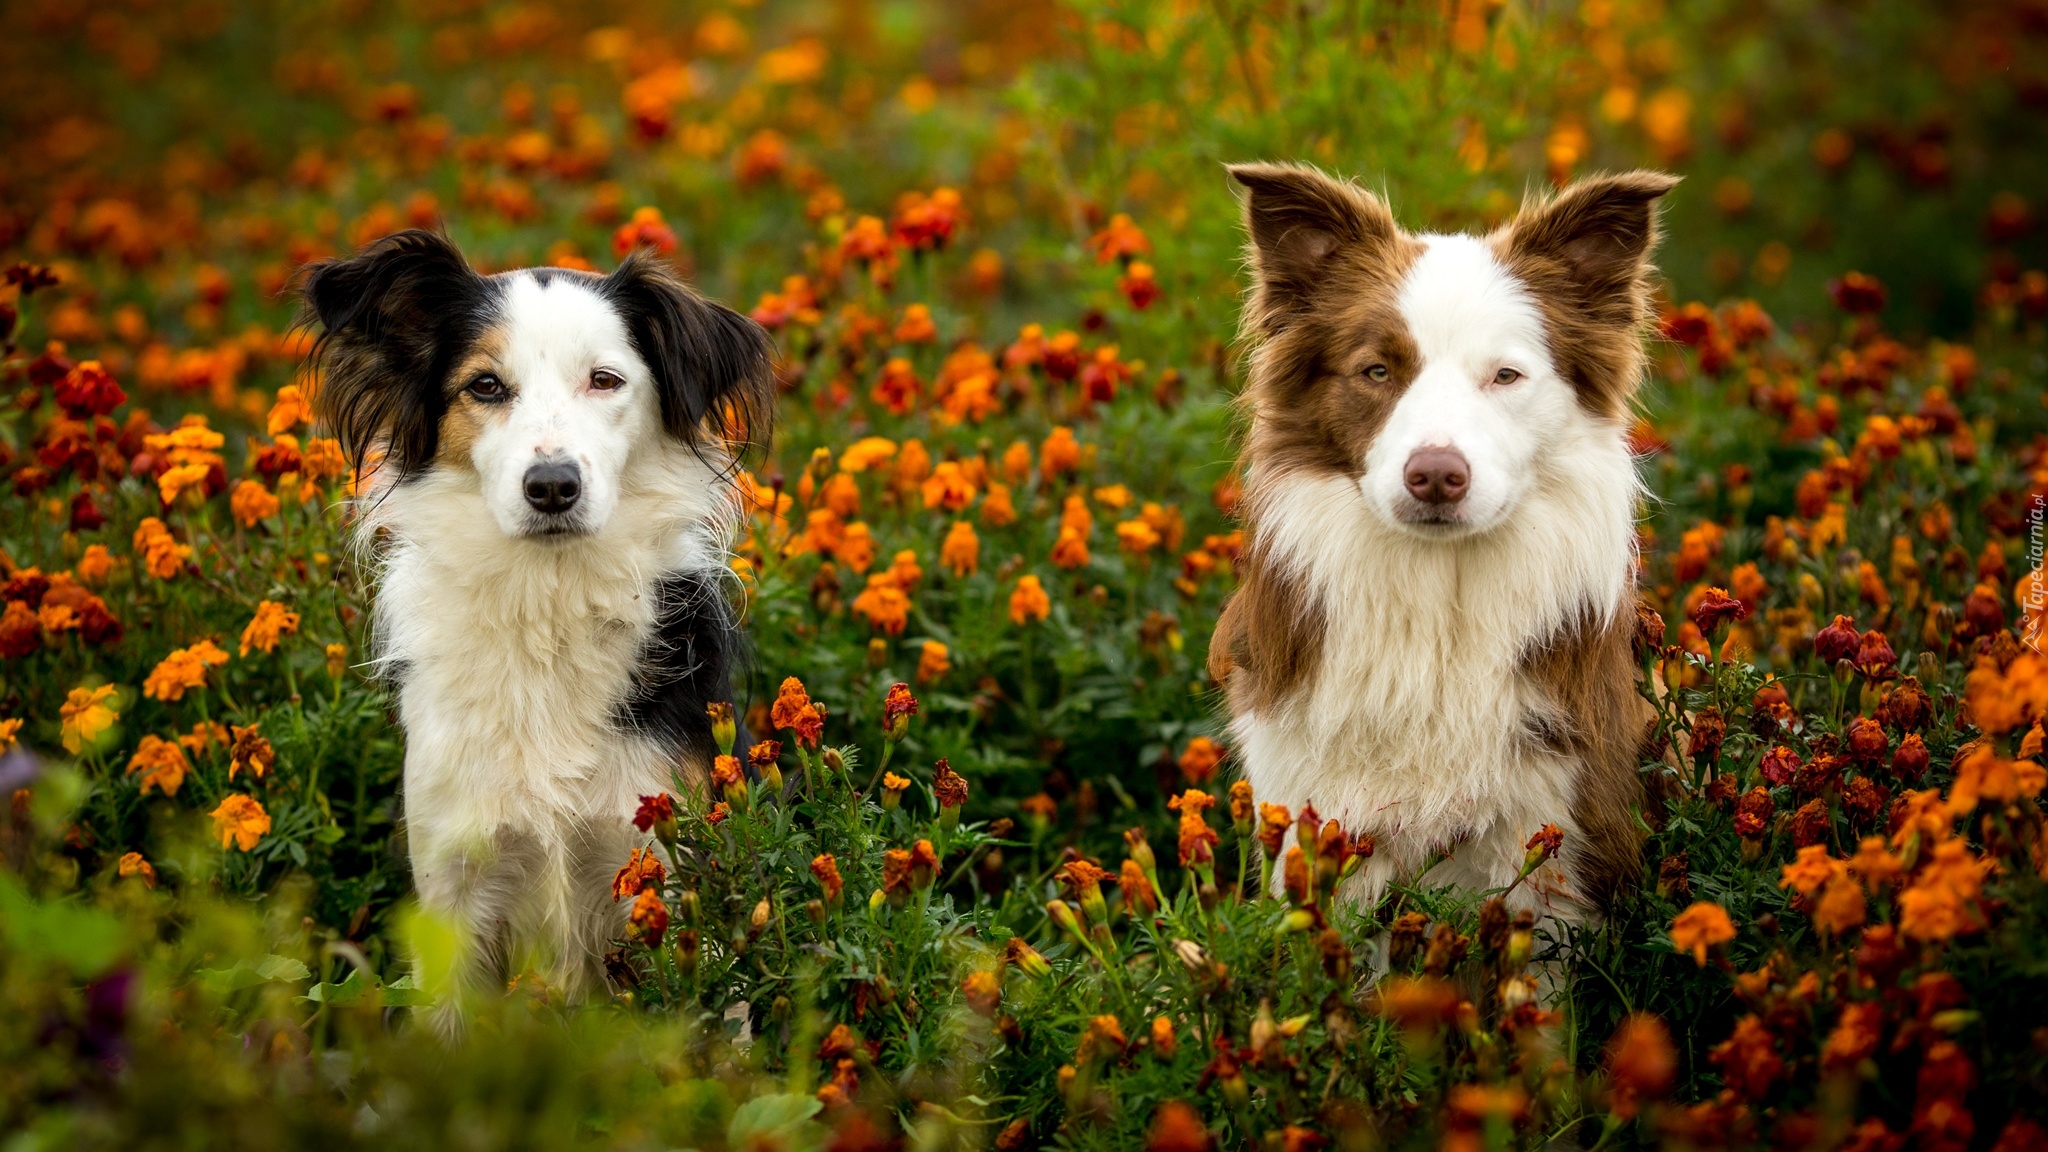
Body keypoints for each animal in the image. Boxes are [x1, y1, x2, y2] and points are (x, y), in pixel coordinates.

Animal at [303, 230, 774, 996]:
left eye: (605, 381)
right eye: (485, 386)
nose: (552, 486)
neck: (547, 606)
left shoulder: (671, 876)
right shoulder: (454, 888)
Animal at [1204, 163, 1671, 914]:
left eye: (1506, 375)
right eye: (1377, 371)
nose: (1435, 476)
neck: (1439, 607)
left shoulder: (1555, 831)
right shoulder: (1315, 807)